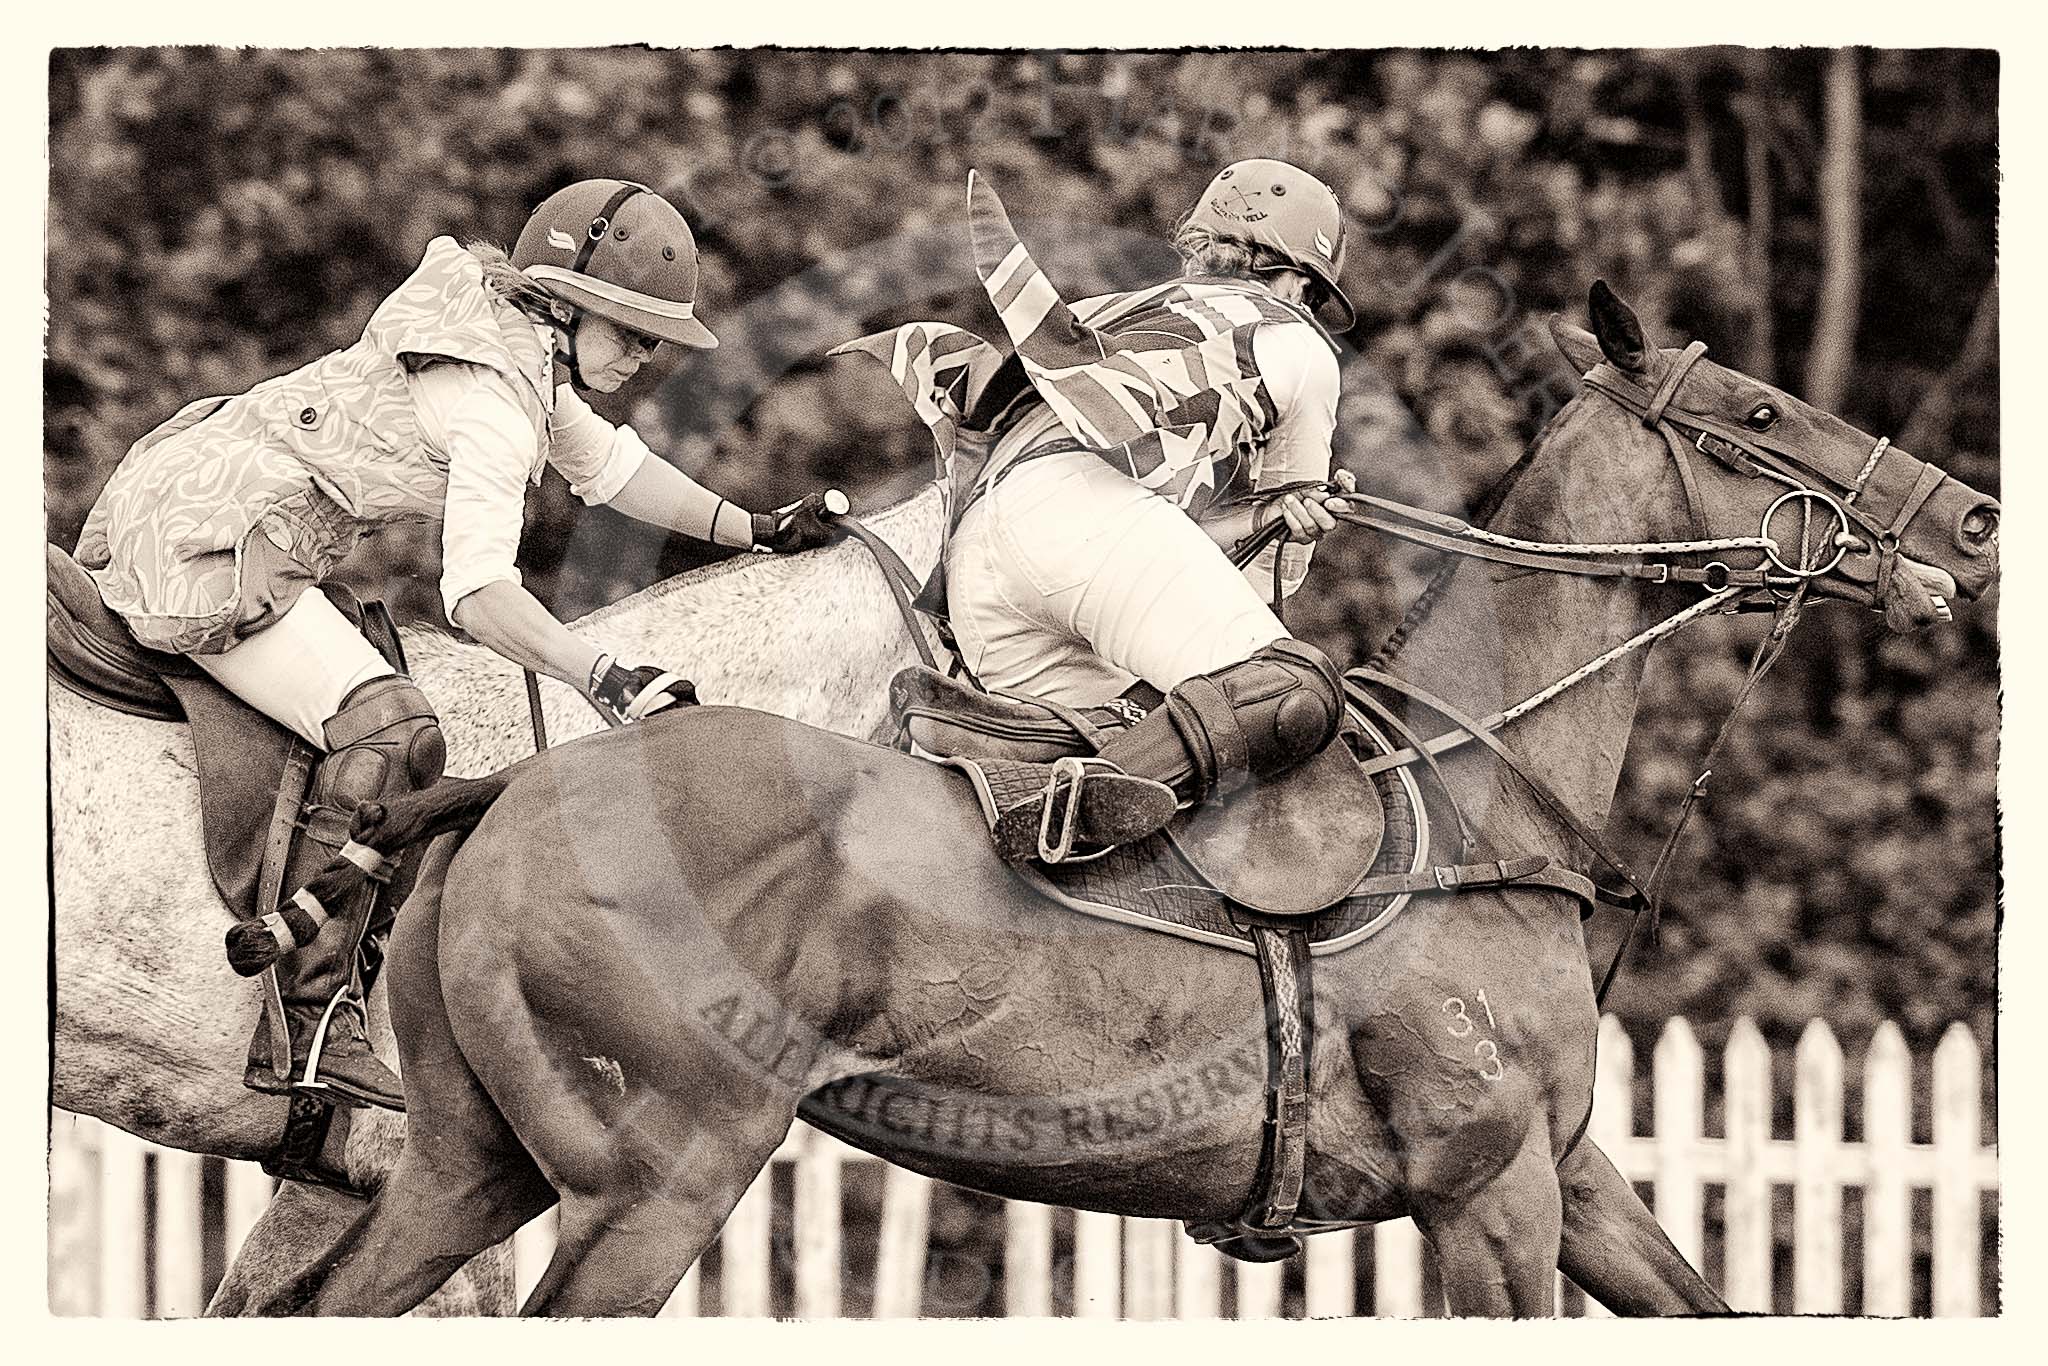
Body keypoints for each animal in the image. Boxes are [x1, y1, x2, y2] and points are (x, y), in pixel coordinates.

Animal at [256, 290, 1998, 1327]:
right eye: (1759, 417)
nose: (1974, 520)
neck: (1482, 788)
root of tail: (501, 791)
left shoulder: (1559, 1174)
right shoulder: (1485, 1189)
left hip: (467, 1161)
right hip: (659, 1168)